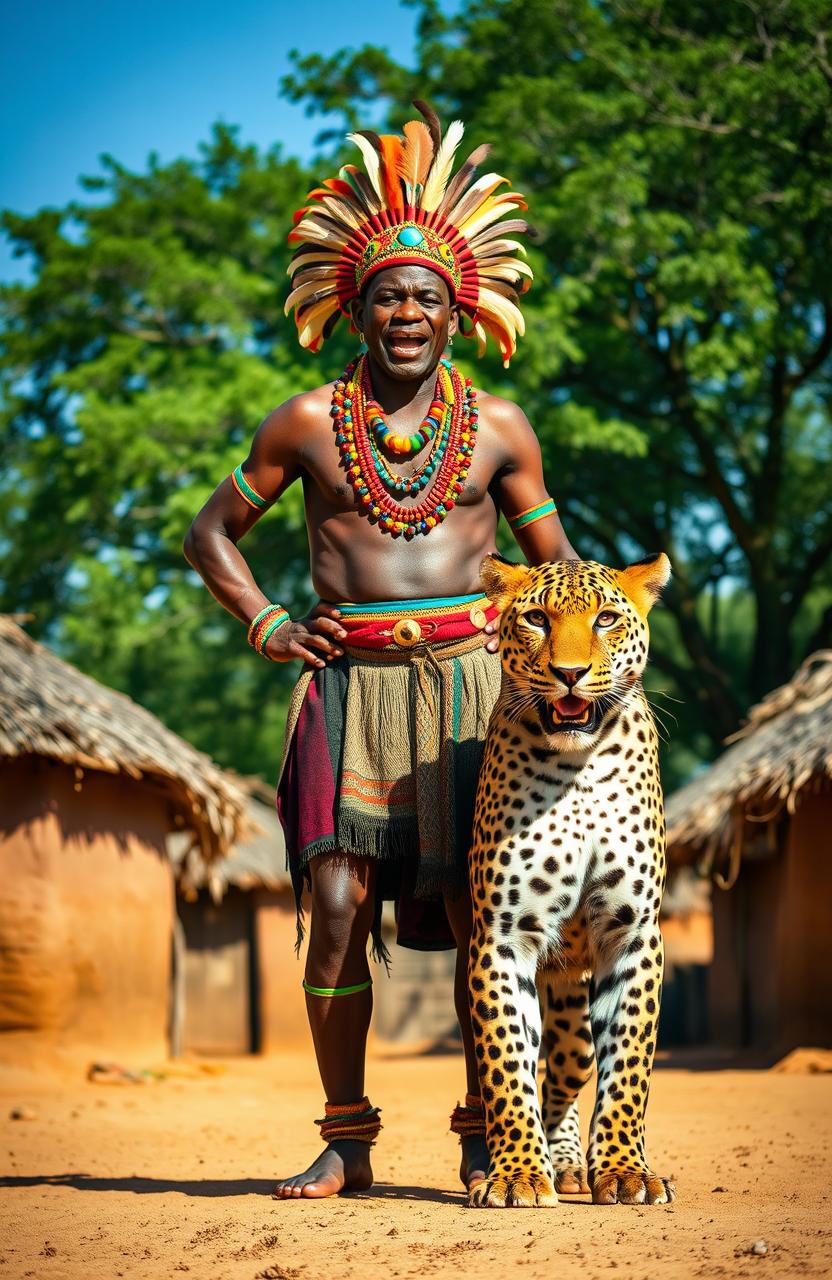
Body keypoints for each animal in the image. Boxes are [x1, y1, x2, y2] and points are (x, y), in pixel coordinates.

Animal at [465, 552, 675, 1208]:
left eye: (606, 618)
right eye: (536, 618)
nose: (570, 673)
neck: (577, 767)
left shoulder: (633, 934)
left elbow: (629, 1061)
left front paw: (626, 1171)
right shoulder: (503, 938)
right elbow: (507, 1064)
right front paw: (515, 1175)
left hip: (577, 1016)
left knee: (568, 1074)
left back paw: (571, 1163)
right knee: (545, 1073)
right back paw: (552, 1162)